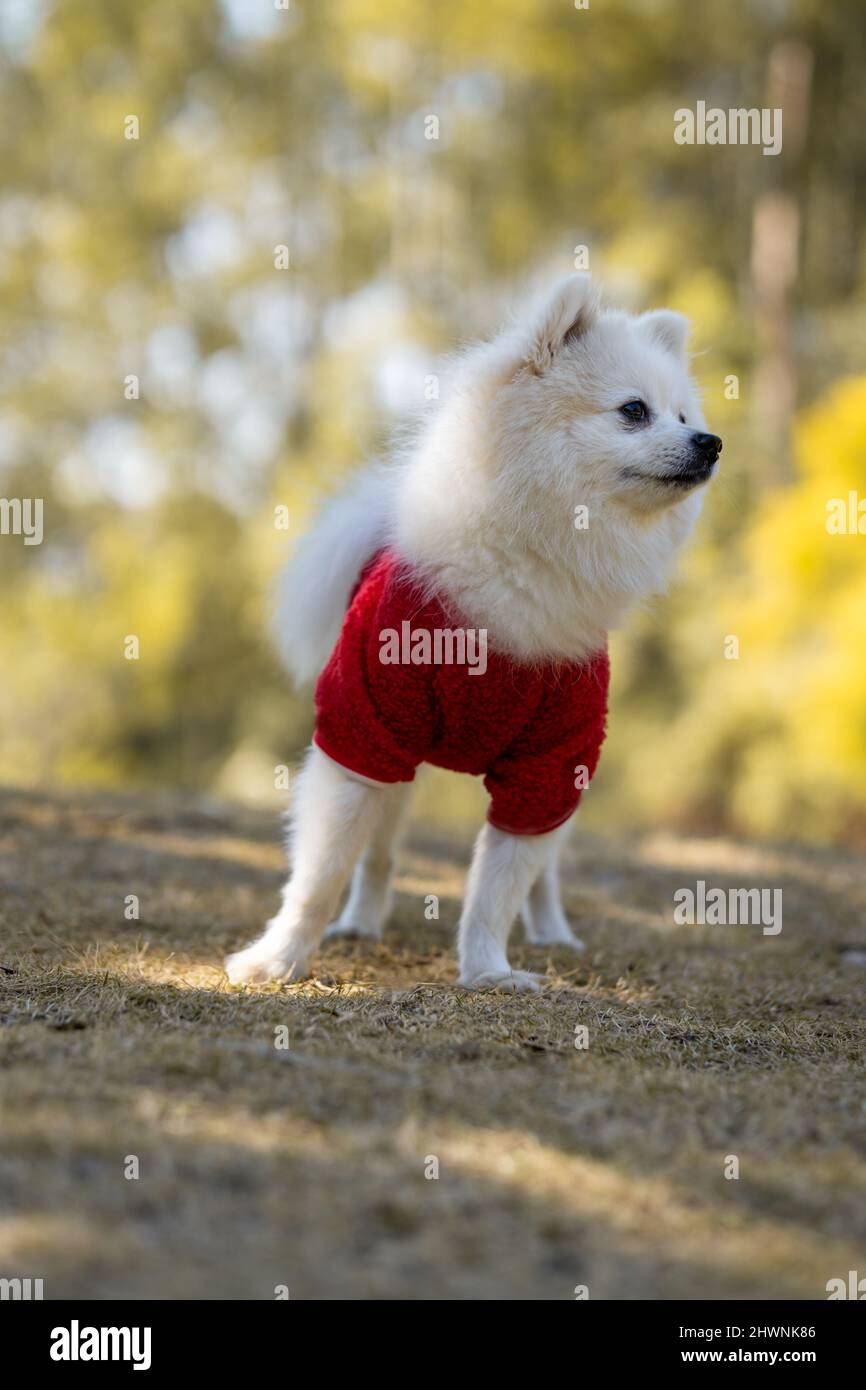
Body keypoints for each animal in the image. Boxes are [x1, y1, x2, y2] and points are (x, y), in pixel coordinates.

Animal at [226, 273, 722, 989]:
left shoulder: (550, 762)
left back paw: (552, 931)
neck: (525, 565)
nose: (711, 442)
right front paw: (278, 958)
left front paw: (488, 970)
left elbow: (499, 887)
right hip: (395, 767)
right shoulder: (364, 732)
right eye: (634, 411)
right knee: (379, 852)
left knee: (545, 874)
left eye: (683, 416)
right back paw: (362, 921)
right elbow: (320, 872)